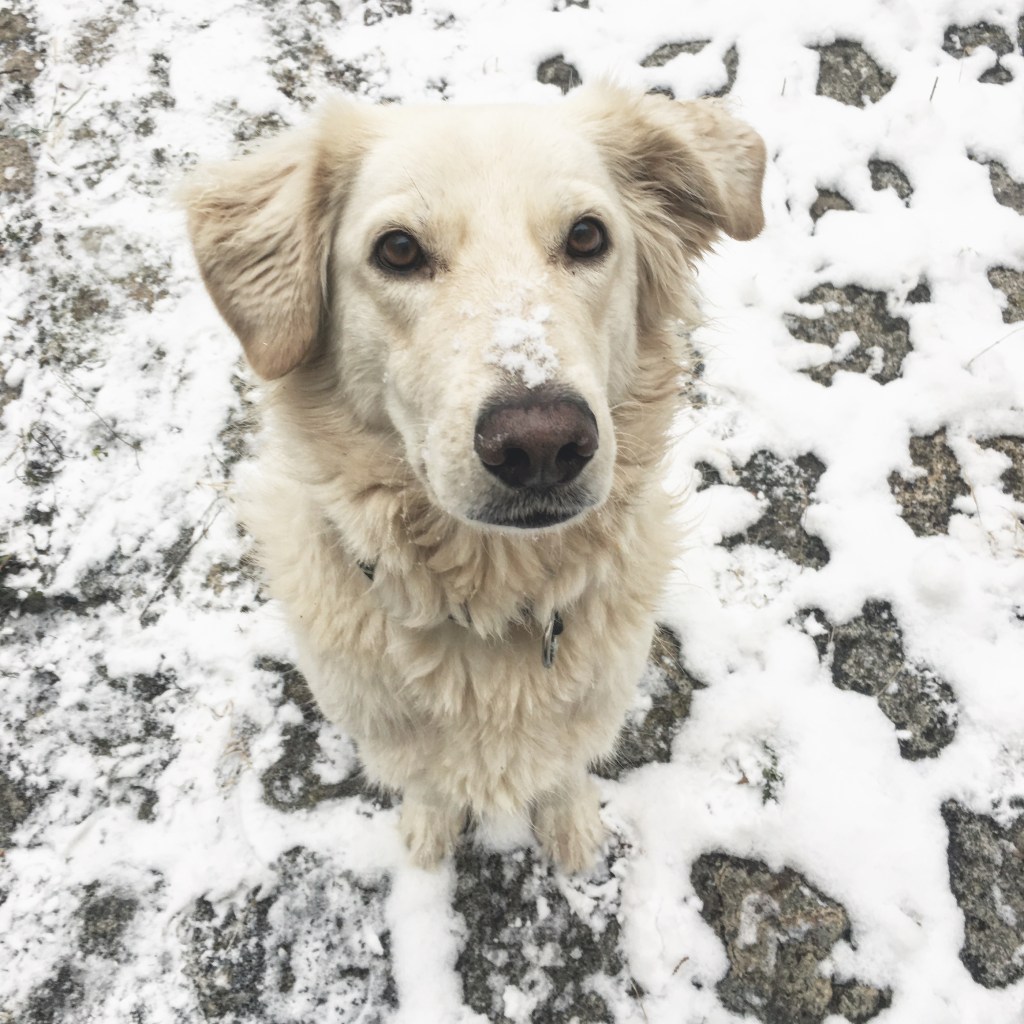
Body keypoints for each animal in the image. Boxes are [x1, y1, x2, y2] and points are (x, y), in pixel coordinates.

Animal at [184, 83, 765, 872]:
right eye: (398, 249)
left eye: (587, 237)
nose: (542, 444)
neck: (490, 600)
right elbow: (429, 785)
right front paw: (428, 834)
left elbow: (564, 770)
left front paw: (573, 827)